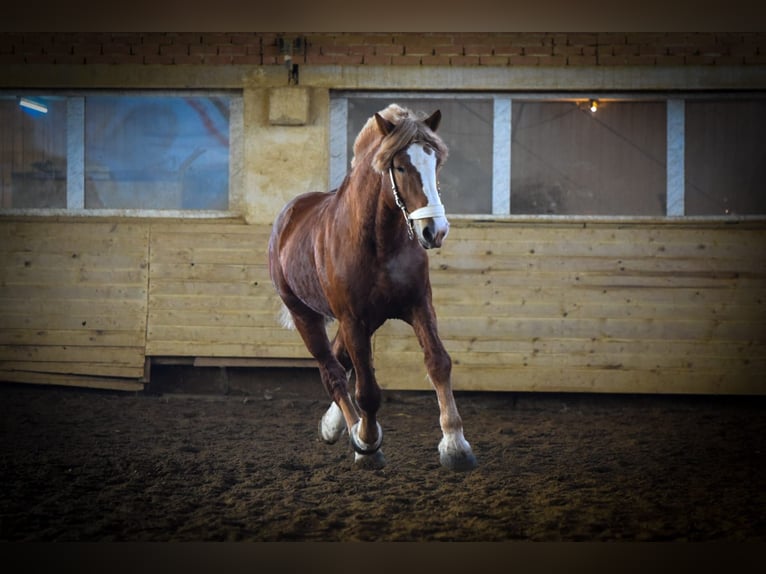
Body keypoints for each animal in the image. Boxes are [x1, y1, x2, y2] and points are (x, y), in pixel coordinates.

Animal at [268, 103, 477, 471]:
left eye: (435, 161)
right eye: (401, 166)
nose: (434, 230)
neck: (380, 242)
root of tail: (288, 217)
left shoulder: (418, 305)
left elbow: (438, 362)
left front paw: (456, 446)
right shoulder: (352, 318)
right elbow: (366, 390)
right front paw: (366, 442)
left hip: (367, 319)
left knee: (340, 359)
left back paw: (334, 426)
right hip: (306, 315)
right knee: (333, 372)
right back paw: (357, 437)